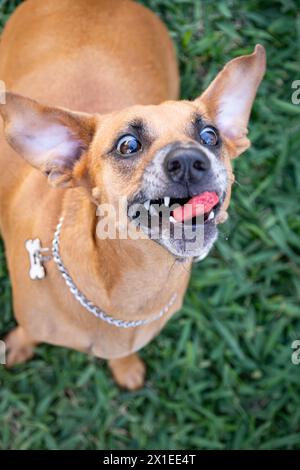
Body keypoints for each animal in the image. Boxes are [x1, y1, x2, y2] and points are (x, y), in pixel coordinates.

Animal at [0, 0, 266, 390]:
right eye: (128, 145)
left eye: (210, 135)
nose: (189, 161)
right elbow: (28, 332)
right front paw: (18, 347)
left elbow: (123, 354)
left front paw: (125, 367)